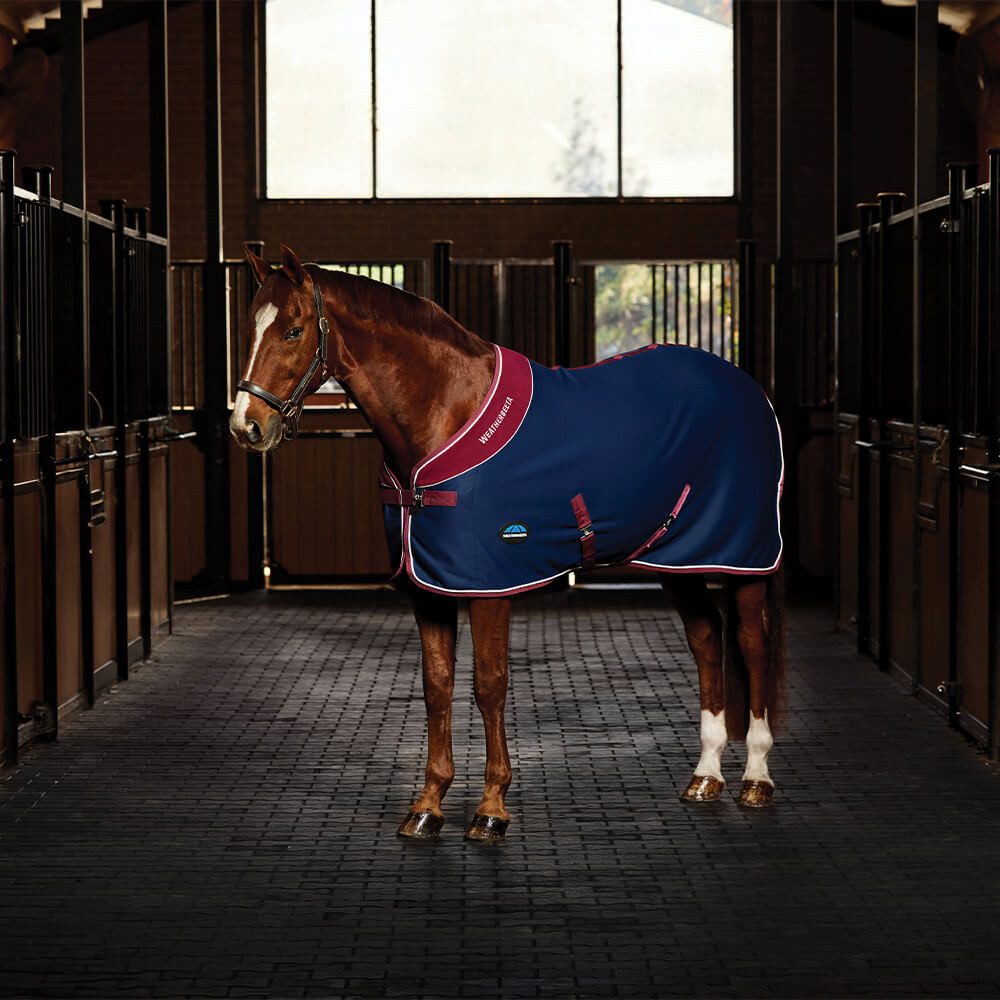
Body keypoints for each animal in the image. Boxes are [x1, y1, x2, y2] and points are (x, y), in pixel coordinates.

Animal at [230, 243, 786, 842]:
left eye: (293, 330)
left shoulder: (489, 587)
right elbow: (437, 686)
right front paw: (427, 805)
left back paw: (756, 778)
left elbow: (489, 685)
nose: (246, 427)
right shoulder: (428, 589)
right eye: (250, 327)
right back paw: (705, 776)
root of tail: (748, 389)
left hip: (744, 556)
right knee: (706, 640)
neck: (445, 413)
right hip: (679, 557)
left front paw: (491, 808)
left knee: (751, 646)